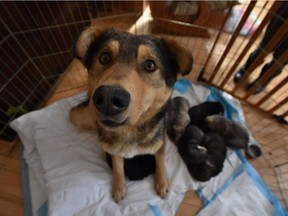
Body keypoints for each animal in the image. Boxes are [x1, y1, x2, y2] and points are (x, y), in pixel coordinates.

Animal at [69, 27, 192, 202]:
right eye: (104, 57)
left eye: (150, 65)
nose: (108, 98)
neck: (129, 132)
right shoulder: (114, 151)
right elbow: (118, 168)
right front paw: (119, 188)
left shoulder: (160, 142)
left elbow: (160, 160)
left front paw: (162, 183)